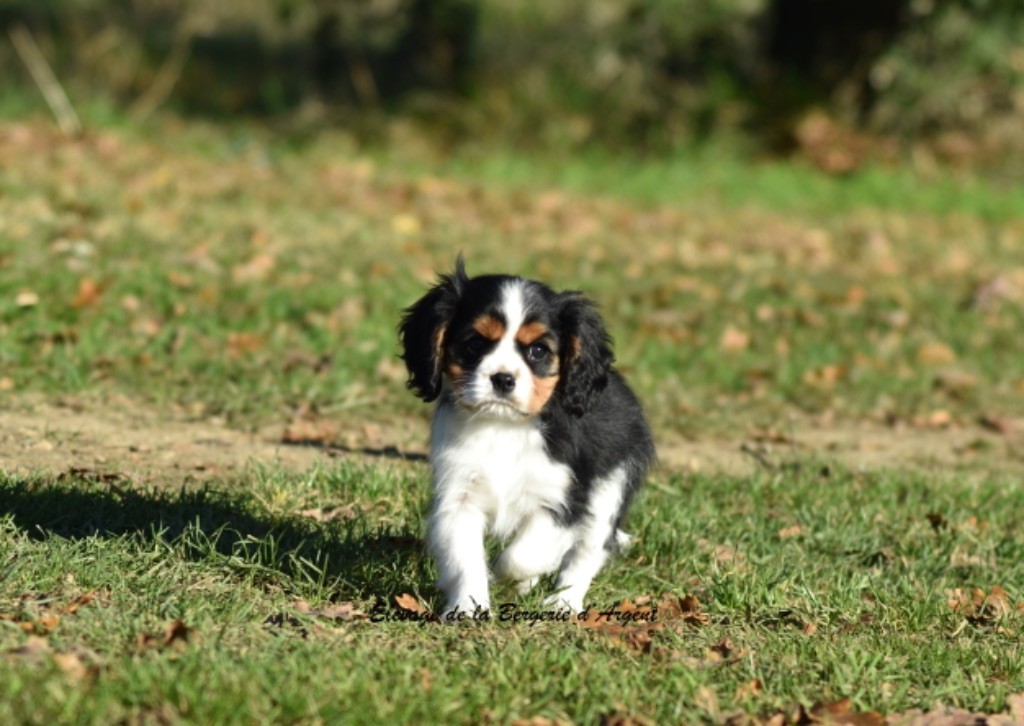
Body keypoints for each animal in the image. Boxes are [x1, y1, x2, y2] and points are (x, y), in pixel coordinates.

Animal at [399, 258, 655, 614]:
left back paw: (563, 603)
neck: (504, 426)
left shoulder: (564, 498)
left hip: (610, 489)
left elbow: (523, 556)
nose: (503, 379)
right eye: (475, 343)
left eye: (538, 350)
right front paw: (468, 608)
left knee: (587, 553)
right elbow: (465, 558)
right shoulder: (459, 497)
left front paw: (506, 576)